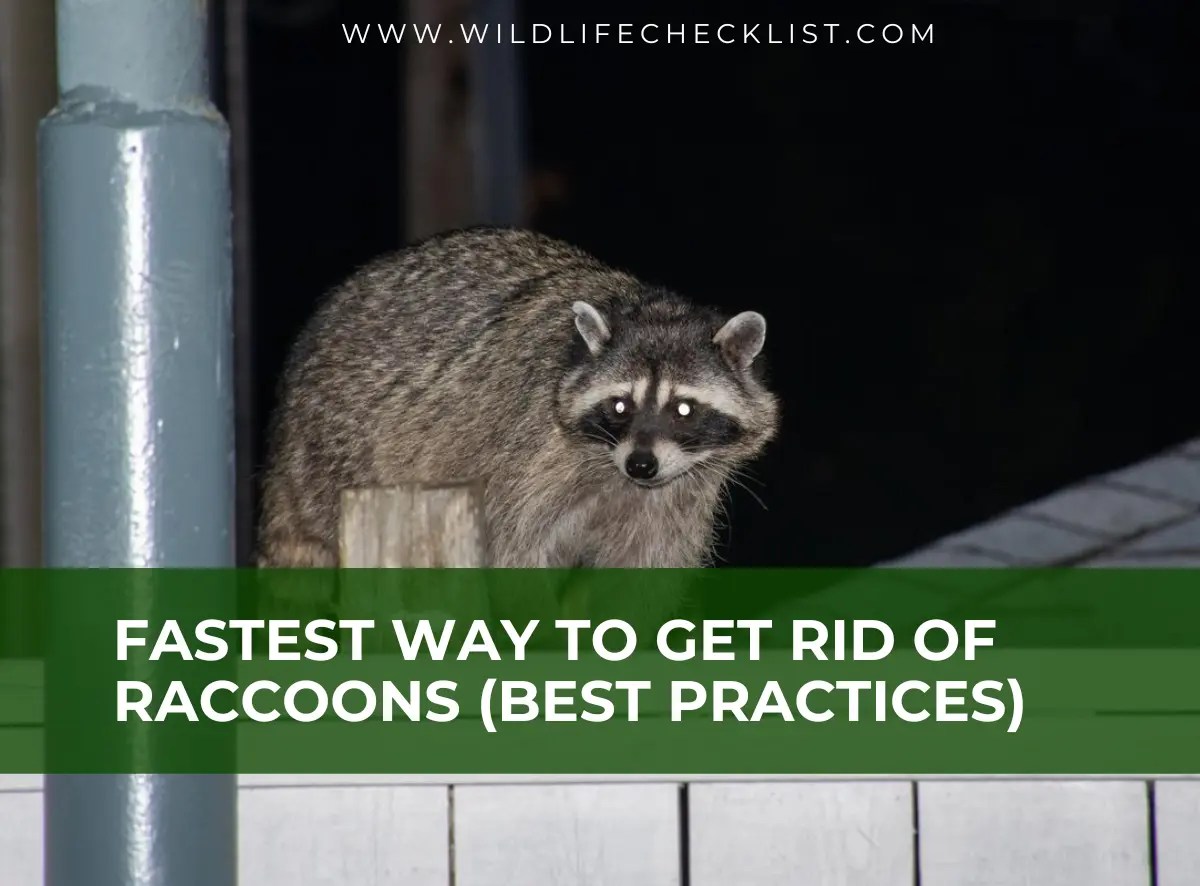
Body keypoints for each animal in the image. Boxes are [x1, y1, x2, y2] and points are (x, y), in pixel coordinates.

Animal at [258, 227, 778, 582]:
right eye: (619, 407)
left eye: (684, 410)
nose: (641, 464)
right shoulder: (527, 453)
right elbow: (515, 550)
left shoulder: (679, 495)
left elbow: (645, 567)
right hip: (338, 442)